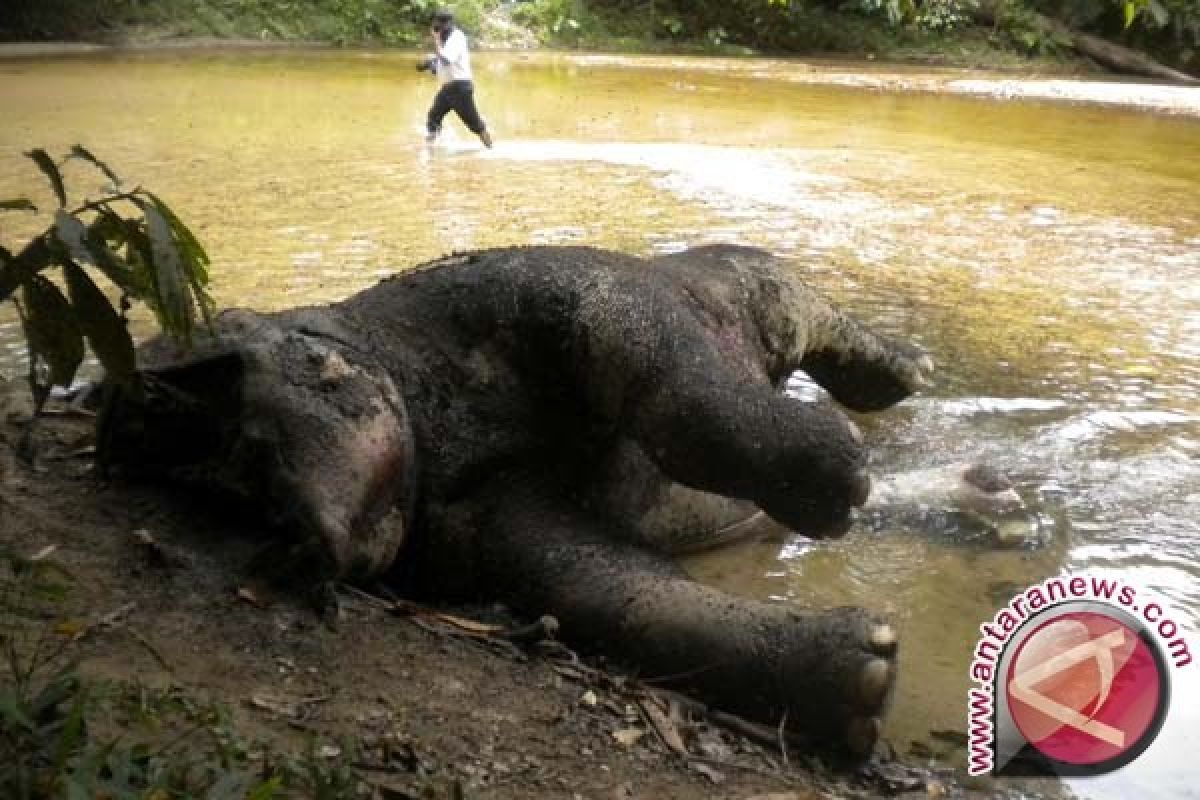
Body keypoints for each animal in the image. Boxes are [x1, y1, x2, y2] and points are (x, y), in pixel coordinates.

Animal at [96, 244, 936, 758]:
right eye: (249, 501)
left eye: (257, 447)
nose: (299, 541)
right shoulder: (495, 531)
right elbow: (634, 602)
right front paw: (867, 679)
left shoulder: (574, 294)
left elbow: (679, 395)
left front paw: (841, 489)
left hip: (741, 286)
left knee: (805, 308)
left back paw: (906, 375)